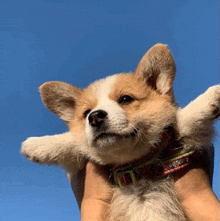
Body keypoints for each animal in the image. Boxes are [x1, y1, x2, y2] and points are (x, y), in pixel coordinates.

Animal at [20, 43, 218, 221]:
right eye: (86, 113)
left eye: (125, 99)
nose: (95, 117)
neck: (136, 168)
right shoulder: (79, 165)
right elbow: (75, 142)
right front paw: (38, 145)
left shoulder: (189, 139)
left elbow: (181, 119)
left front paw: (209, 97)